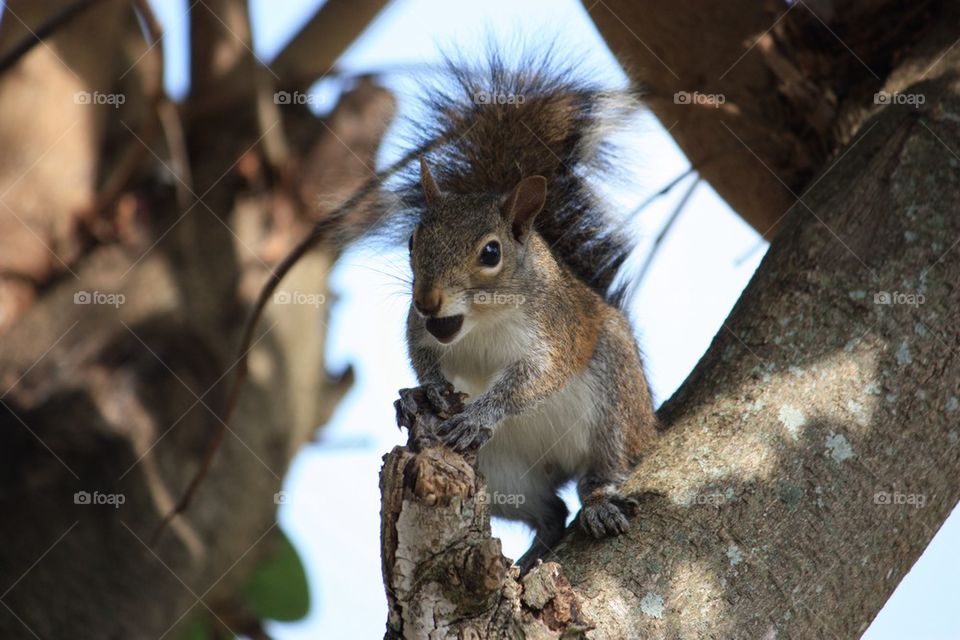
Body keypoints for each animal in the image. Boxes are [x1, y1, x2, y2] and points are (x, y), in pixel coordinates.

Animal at [394, 52, 664, 572]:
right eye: (413, 241)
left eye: (491, 252)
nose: (427, 301)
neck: (479, 324)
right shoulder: (419, 331)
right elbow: (423, 359)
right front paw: (422, 393)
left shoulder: (553, 333)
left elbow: (533, 380)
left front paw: (481, 413)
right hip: (504, 476)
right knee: (551, 512)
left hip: (615, 401)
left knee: (600, 474)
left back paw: (599, 504)